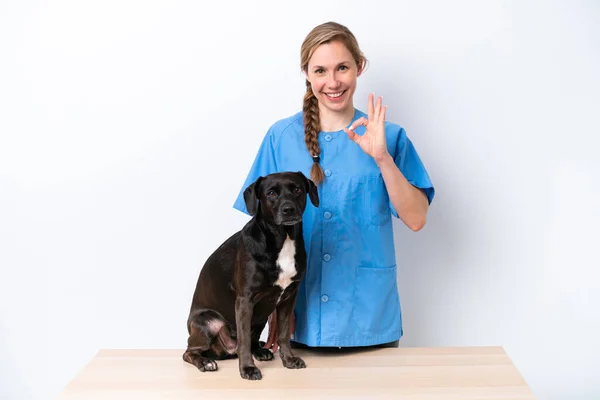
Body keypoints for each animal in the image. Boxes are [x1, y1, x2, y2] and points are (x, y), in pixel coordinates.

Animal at [182, 170, 318, 380]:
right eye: (271, 193)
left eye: (297, 189)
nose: (288, 209)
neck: (283, 239)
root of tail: (224, 351)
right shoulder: (245, 300)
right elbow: (244, 339)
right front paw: (247, 368)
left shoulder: (288, 298)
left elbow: (283, 334)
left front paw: (288, 359)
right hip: (208, 323)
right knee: (189, 352)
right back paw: (205, 362)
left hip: (261, 317)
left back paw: (260, 351)